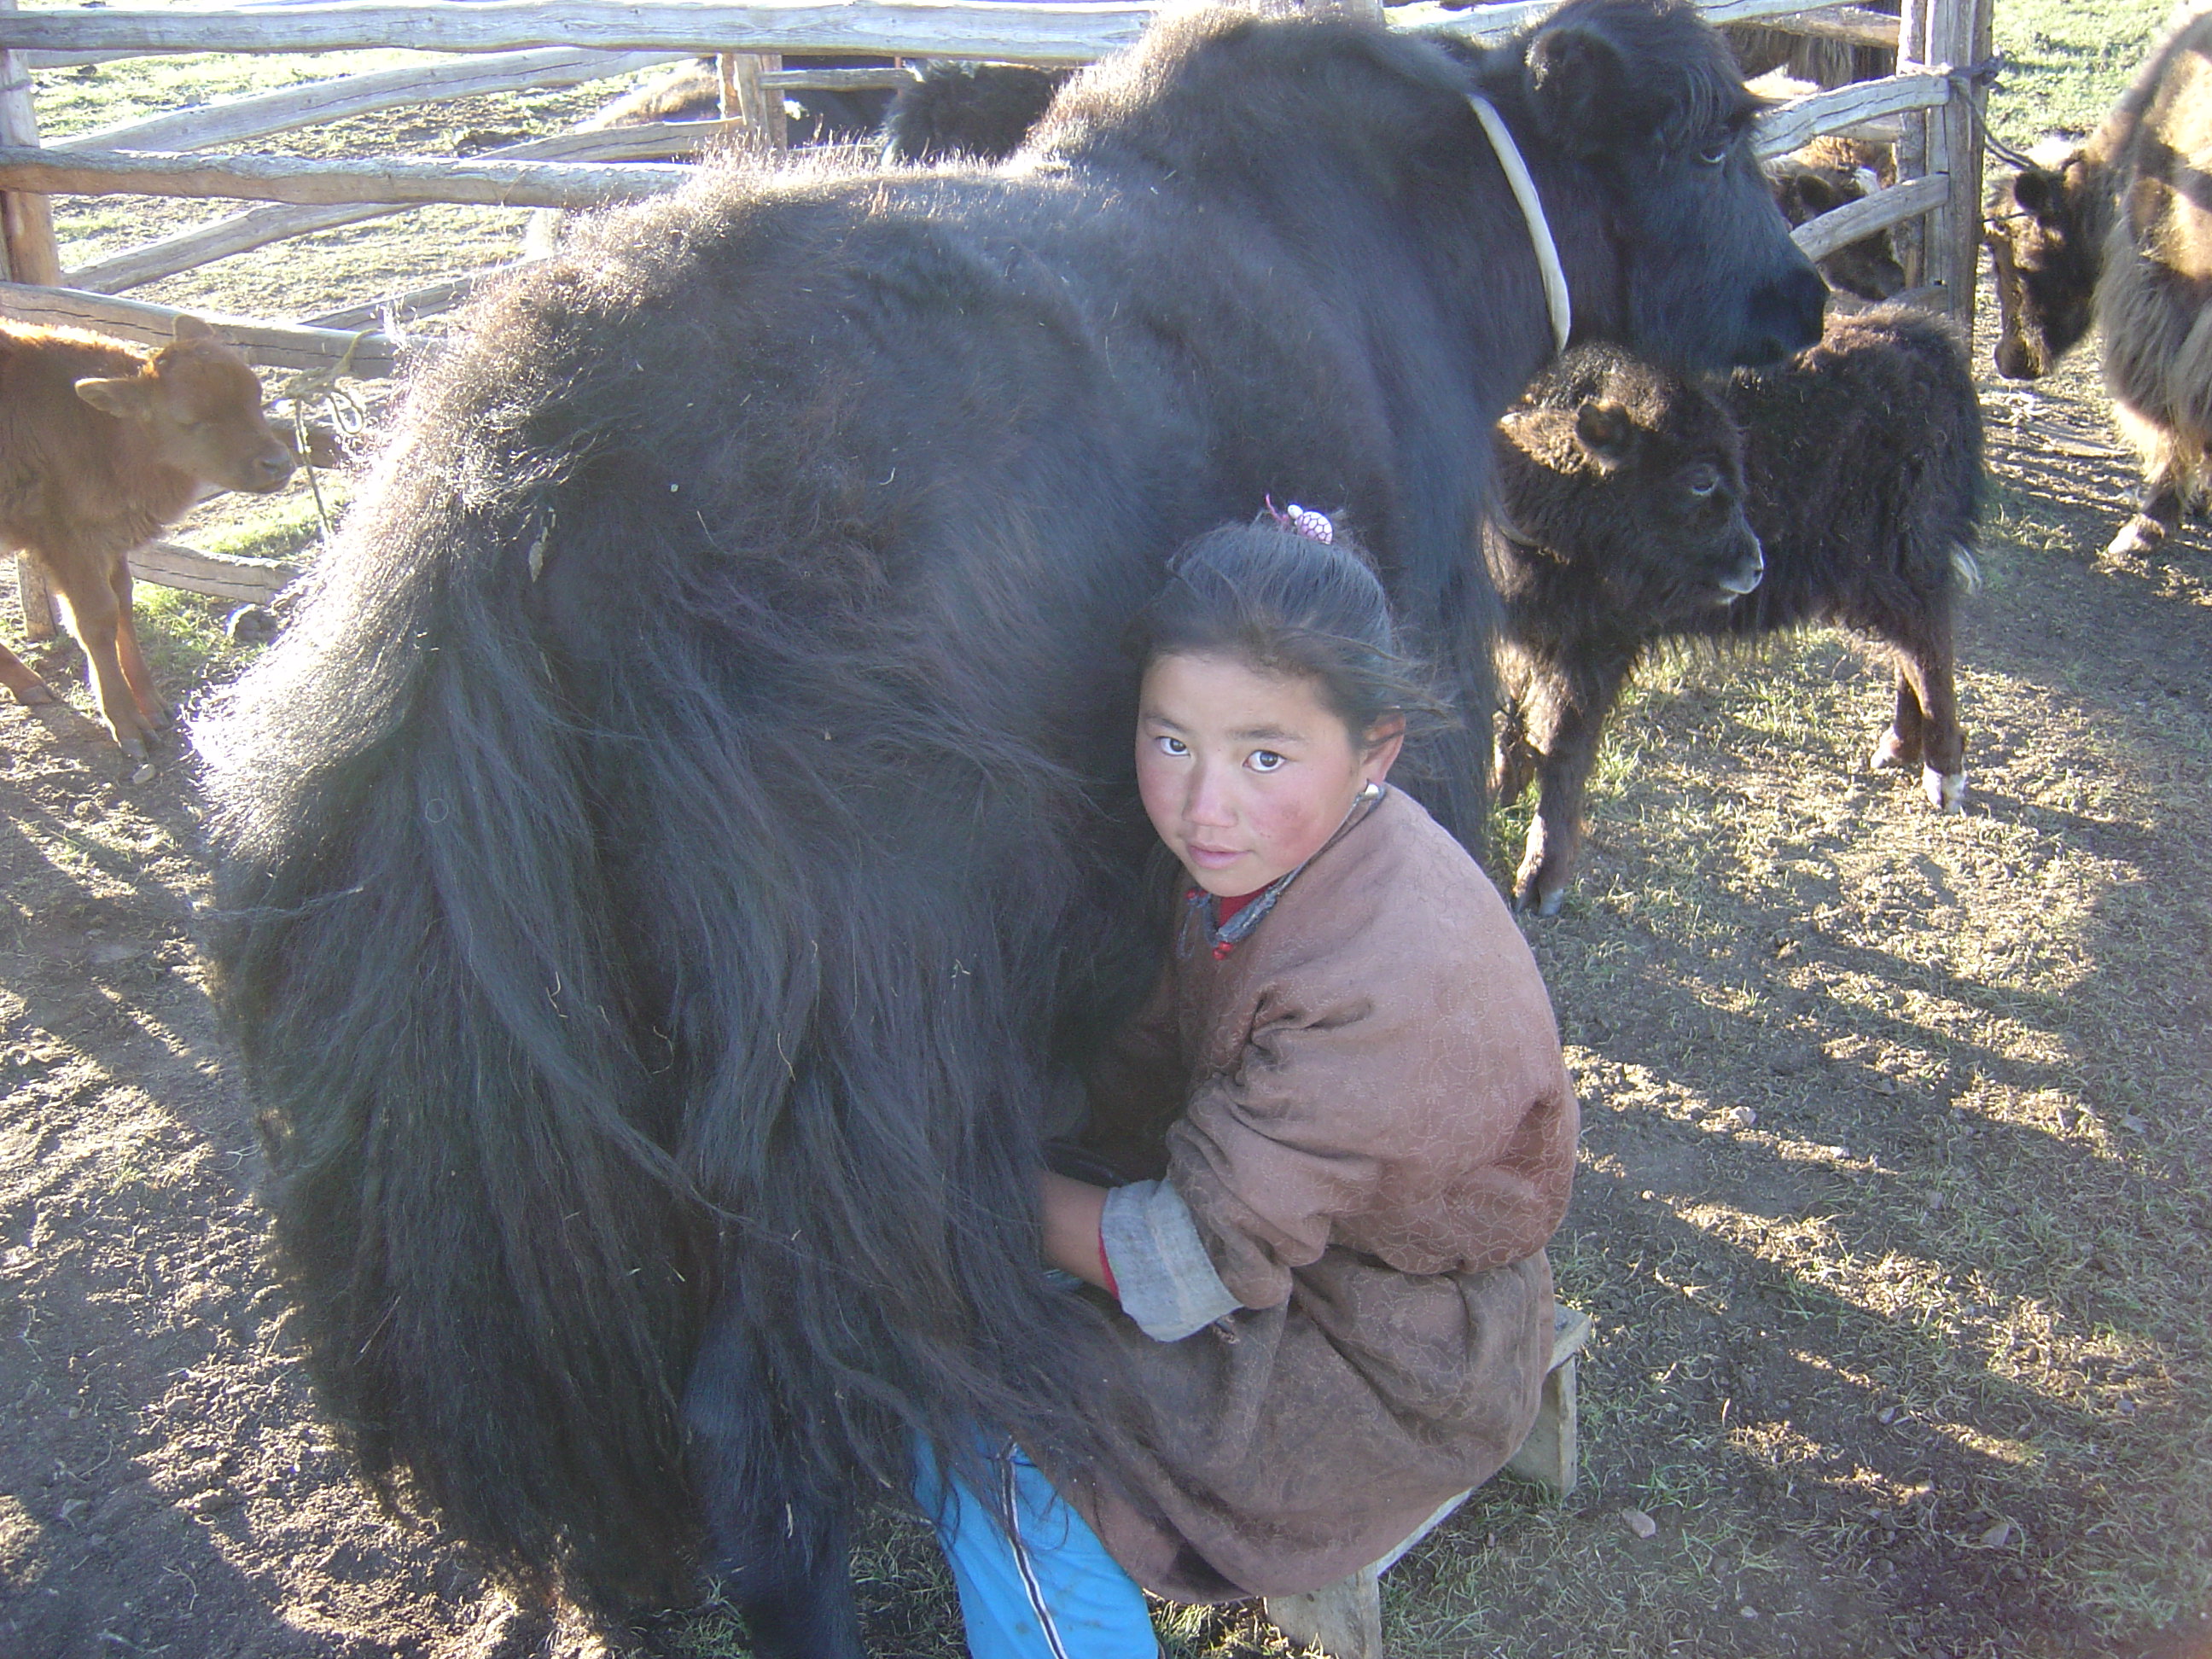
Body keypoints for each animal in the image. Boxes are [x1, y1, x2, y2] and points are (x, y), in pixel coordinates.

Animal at [1, 314, 294, 765]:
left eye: (256, 396)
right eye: (190, 419)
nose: (277, 464)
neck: (98, 426)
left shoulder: (110, 538)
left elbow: (123, 604)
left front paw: (154, 708)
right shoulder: (69, 544)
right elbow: (97, 621)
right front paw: (129, 727)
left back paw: (29, 685)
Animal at [1495, 305, 1982, 916]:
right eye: (1701, 480)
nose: (1755, 566)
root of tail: (1924, 342)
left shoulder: (1593, 650)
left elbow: (1561, 748)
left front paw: (1540, 883)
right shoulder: (1520, 634)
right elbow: (1512, 721)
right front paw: (1500, 794)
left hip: (1890, 569)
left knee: (1928, 650)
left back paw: (1944, 776)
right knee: (1908, 654)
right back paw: (1896, 749)